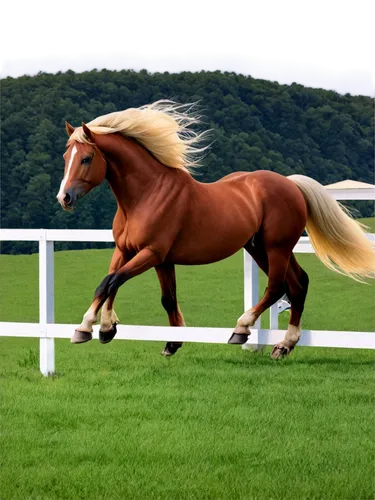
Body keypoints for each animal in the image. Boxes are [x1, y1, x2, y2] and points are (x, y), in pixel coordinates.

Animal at [56, 100, 375, 360]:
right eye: (65, 157)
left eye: (86, 158)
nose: (64, 198)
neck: (146, 195)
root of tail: (291, 184)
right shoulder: (137, 253)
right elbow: (147, 293)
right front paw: (136, 335)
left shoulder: (151, 253)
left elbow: (110, 282)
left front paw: (89, 328)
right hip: (259, 247)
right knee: (298, 283)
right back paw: (284, 345)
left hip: (277, 247)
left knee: (276, 287)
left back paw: (241, 330)